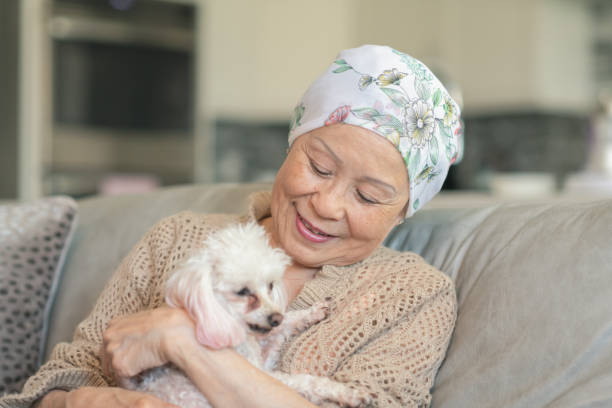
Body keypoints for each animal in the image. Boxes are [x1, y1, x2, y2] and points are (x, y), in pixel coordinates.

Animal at [118, 223, 368, 408]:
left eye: (270, 285)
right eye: (243, 292)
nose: (275, 318)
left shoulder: (262, 356)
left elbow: (284, 328)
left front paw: (311, 313)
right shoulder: (263, 373)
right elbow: (304, 381)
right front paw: (346, 392)